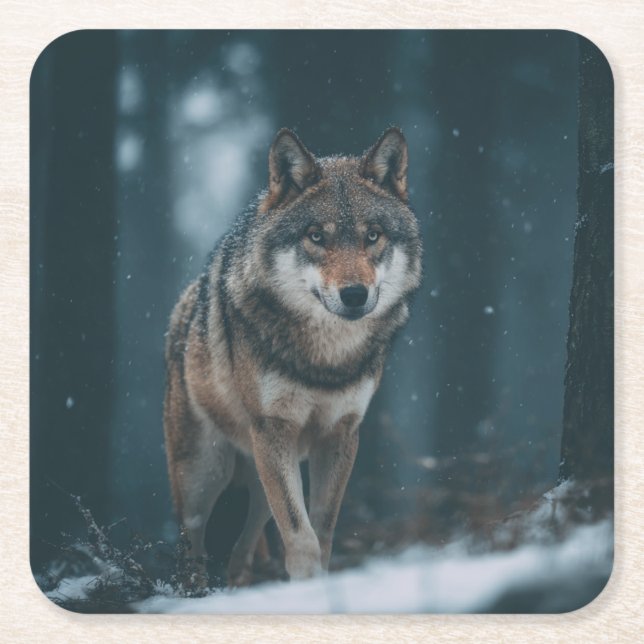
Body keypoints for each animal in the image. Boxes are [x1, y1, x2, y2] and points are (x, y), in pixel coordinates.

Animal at [164, 127, 422, 586]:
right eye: (316, 236)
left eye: (373, 235)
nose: (354, 295)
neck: (326, 360)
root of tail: (181, 309)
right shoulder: (274, 429)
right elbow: (301, 536)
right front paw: (309, 585)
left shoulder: (341, 433)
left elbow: (322, 530)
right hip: (205, 475)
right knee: (191, 547)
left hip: (258, 476)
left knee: (243, 548)